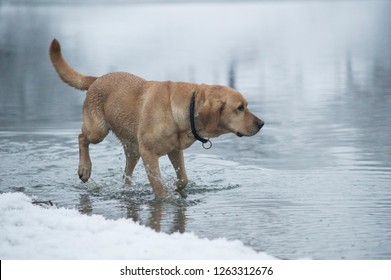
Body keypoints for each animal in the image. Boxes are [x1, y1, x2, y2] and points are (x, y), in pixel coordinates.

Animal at [49, 39, 264, 199]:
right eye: (240, 108)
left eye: (246, 106)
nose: (261, 124)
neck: (186, 108)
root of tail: (97, 78)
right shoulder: (149, 153)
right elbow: (159, 188)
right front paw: (166, 197)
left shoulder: (174, 150)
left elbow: (183, 178)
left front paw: (178, 189)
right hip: (98, 131)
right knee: (81, 137)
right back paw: (85, 169)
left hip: (133, 150)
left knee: (126, 175)